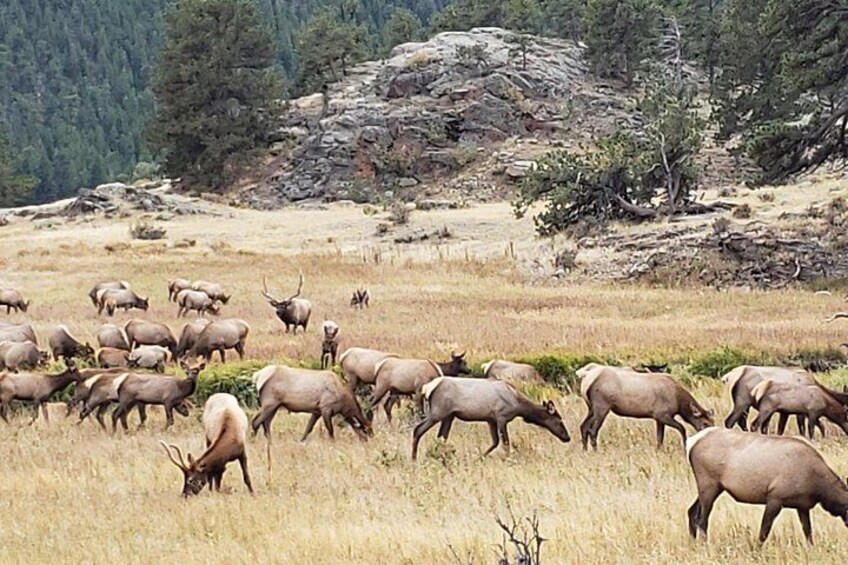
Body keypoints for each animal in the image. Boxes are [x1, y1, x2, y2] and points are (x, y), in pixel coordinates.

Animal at [412, 376, 571, 460]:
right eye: (559, 420)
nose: (567, 437)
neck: (519, 406)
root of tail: (427, 388)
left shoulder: (491, 419)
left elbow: (495, 442)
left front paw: (480, 457)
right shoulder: (501, 417)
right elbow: (505, 443)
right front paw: (507, 459)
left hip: (449, 416)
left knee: (441, 437)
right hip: (438, 411)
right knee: (418, 429)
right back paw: (414, 458)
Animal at [578, 364, 714, 450]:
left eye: (713, 422)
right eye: (705, 423)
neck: (679, 402)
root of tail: (586, 378)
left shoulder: (658, 418)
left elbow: (660, 437)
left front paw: (659, 450)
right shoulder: (662, 414)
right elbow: (682, 428)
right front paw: (685, 446)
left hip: (591, 407)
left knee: (583, 426)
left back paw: (585, 450)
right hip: (602, 406)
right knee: (593, 430)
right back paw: (595, 451)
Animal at [687, 427, 848, 544]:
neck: (819, 488)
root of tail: (690, 443)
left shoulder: (802, 506)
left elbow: (808, 532)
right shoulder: (775, 498)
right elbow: (764, 532)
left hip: (713, 487)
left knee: (692, 511)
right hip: (709, 484)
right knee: (702, 520)